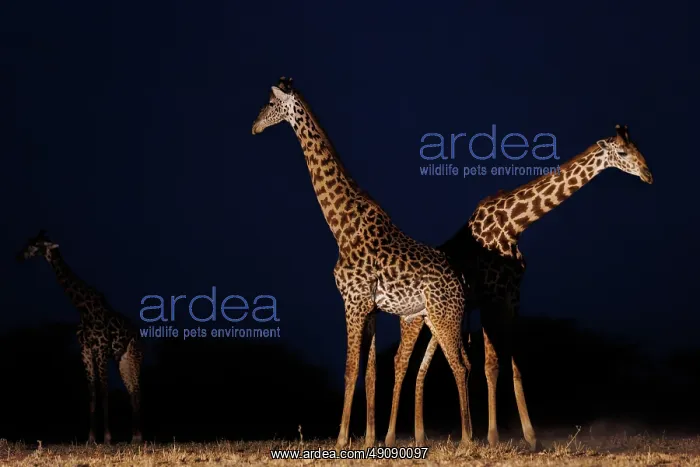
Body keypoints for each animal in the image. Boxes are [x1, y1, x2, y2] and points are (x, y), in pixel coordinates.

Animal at [17, 230, 143, 445]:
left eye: (36, 244)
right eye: (29, 241)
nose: (19, 256)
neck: (83, 308)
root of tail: (141, 336)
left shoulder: (100, 349)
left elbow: (103, 391)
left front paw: (107, 438)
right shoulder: (85, 350)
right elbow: (91, 392)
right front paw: (91, 438)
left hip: (134, 357)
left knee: (138, 390)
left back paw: (139, 437)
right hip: (122, 360)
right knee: (132, 391)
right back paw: (134, 437)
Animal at [252, 77, 473, 448]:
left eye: (269, 102)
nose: (254, 126)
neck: (341, 227)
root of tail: (463, 283)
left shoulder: (352, 301)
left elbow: (350, 368)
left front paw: (341, 438)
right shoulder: (369, 308)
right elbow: (370, 371)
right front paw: (370, 439)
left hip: (445, 317)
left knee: (459, 366)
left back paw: (469, 440)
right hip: (431, 318)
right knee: (444, 365)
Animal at [384, 124, 653, 450]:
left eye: (638, 148)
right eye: (623, 152)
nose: (648, 174)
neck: (514, 224)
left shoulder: (511, 299)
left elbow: (515, 364)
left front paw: (530, 436)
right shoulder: (490, 299)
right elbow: (490, 364)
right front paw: (492, 436)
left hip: (437, 322)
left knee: (423, 367)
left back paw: (421, 435)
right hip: (413, 319)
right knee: (400, 361)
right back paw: (389, 438)